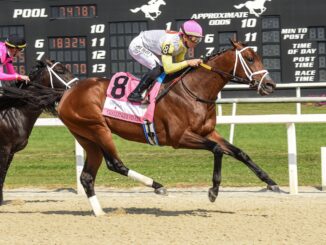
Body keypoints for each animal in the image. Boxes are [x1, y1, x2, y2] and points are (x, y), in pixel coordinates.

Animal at [0, 59, 76, 205]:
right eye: (60, 70)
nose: (78, 86)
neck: (13, 112)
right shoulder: (4, 149)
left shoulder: (11, 151)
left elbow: (4, 173)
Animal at [57, 40, 278, 216]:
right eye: (249, 58)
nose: (270, 85)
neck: (194, 91)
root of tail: (68, 92)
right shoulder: (179, 138)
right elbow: (217, 150)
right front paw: (213, 191)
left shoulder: (208, 132)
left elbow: (239, 153)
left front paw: (271, 182)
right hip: (97, 128)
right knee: (115, 164)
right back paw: (157, 186)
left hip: (87, 138)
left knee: (87, 176)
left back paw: (100, 213)